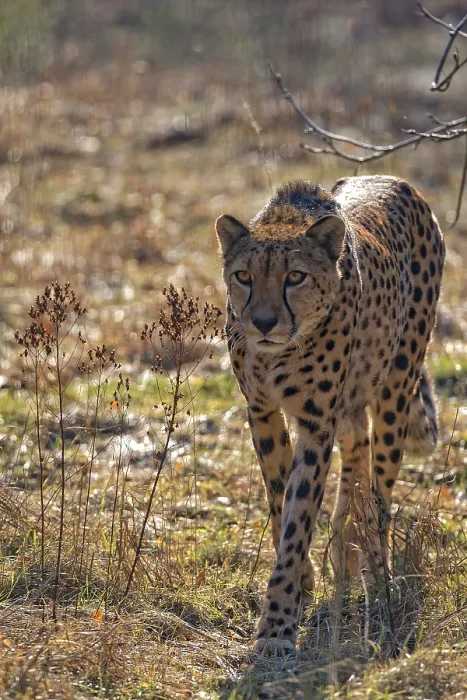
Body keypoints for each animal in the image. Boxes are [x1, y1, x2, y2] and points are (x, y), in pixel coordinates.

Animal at [215, 175, 445, 655]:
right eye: (243, 276)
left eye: (295, 277)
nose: (263, 323)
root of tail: (396, 181)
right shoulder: (261, 410)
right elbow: (280, 500)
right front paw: (302, 584)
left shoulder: (316, 422)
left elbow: (299, 514)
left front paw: (277, 626)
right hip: (354, 403)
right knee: (357, 451)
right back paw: (344, 549)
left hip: (396, 387)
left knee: (380, 492)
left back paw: (377, 575)